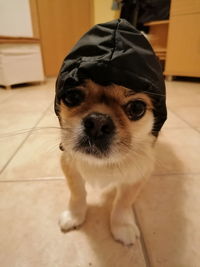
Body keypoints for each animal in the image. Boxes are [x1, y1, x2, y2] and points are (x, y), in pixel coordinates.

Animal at [54, 18, 167, 246]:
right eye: (72, 97)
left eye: (136, 108)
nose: (98, 122)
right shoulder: (70, 163)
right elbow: (77, 193)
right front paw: (75, 216)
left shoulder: (138, 174)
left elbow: (123, 203)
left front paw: (121, 226)